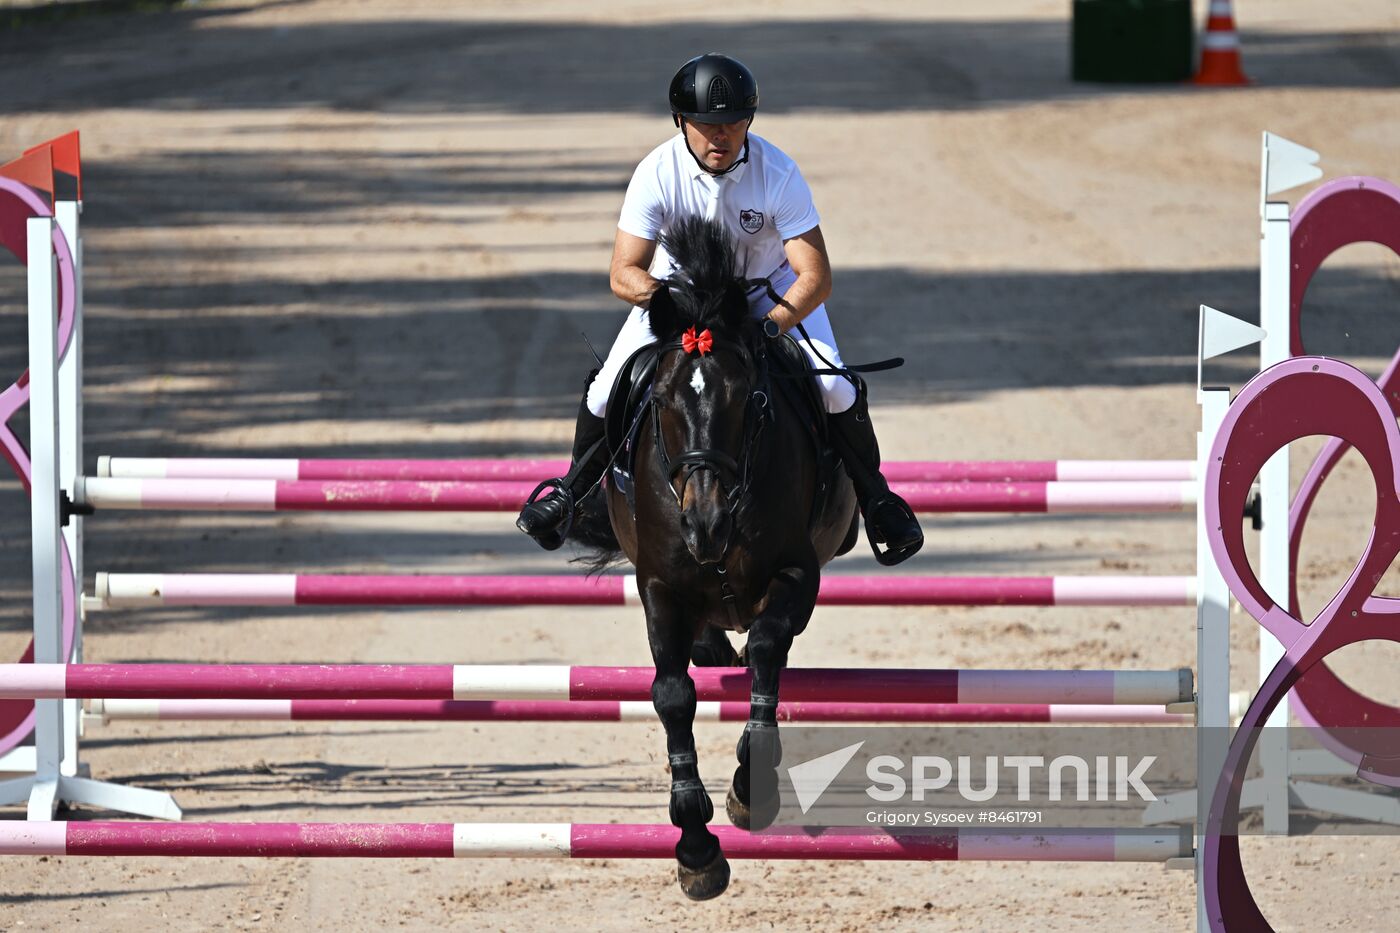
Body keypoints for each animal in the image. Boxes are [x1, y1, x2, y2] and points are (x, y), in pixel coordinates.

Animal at [571, 214, 856, 896]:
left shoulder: (798, 572)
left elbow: (768, 649)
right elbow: (672, 694)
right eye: (662, 402)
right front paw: (696, 847)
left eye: (749, 398)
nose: (706, 525)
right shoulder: (660, 588)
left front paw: (751, 791)